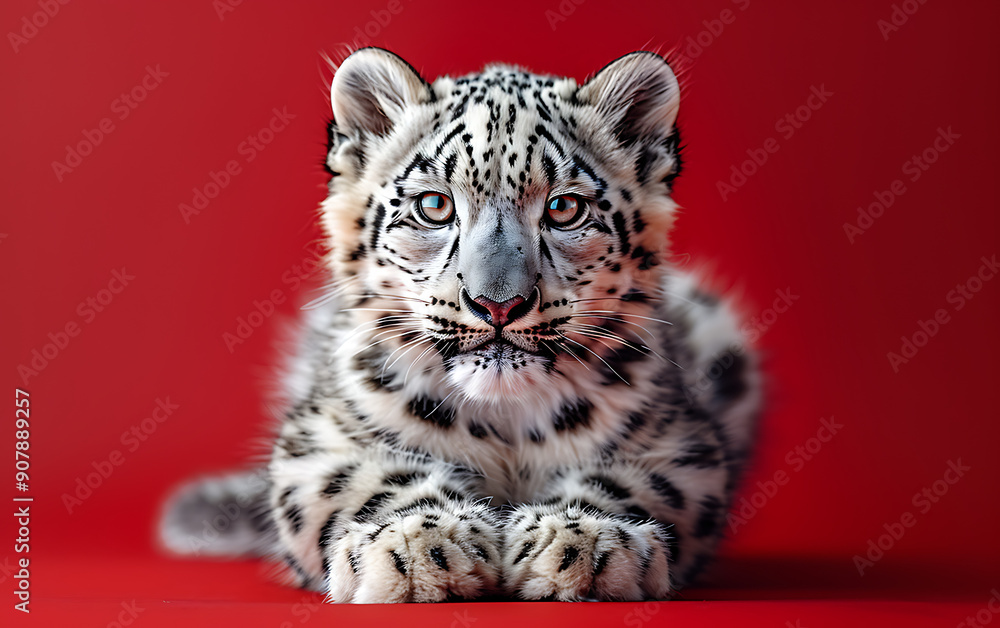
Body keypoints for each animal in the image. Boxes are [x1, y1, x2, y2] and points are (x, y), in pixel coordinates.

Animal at [159, 47, 762, 603]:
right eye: (434, 205)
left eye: (564, 209)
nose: (497, 304)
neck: (507, 426)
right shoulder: (318, 440)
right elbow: (369, 478)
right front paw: (419, 546)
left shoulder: (681, 445)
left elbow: (628, 481)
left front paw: (582, 540)